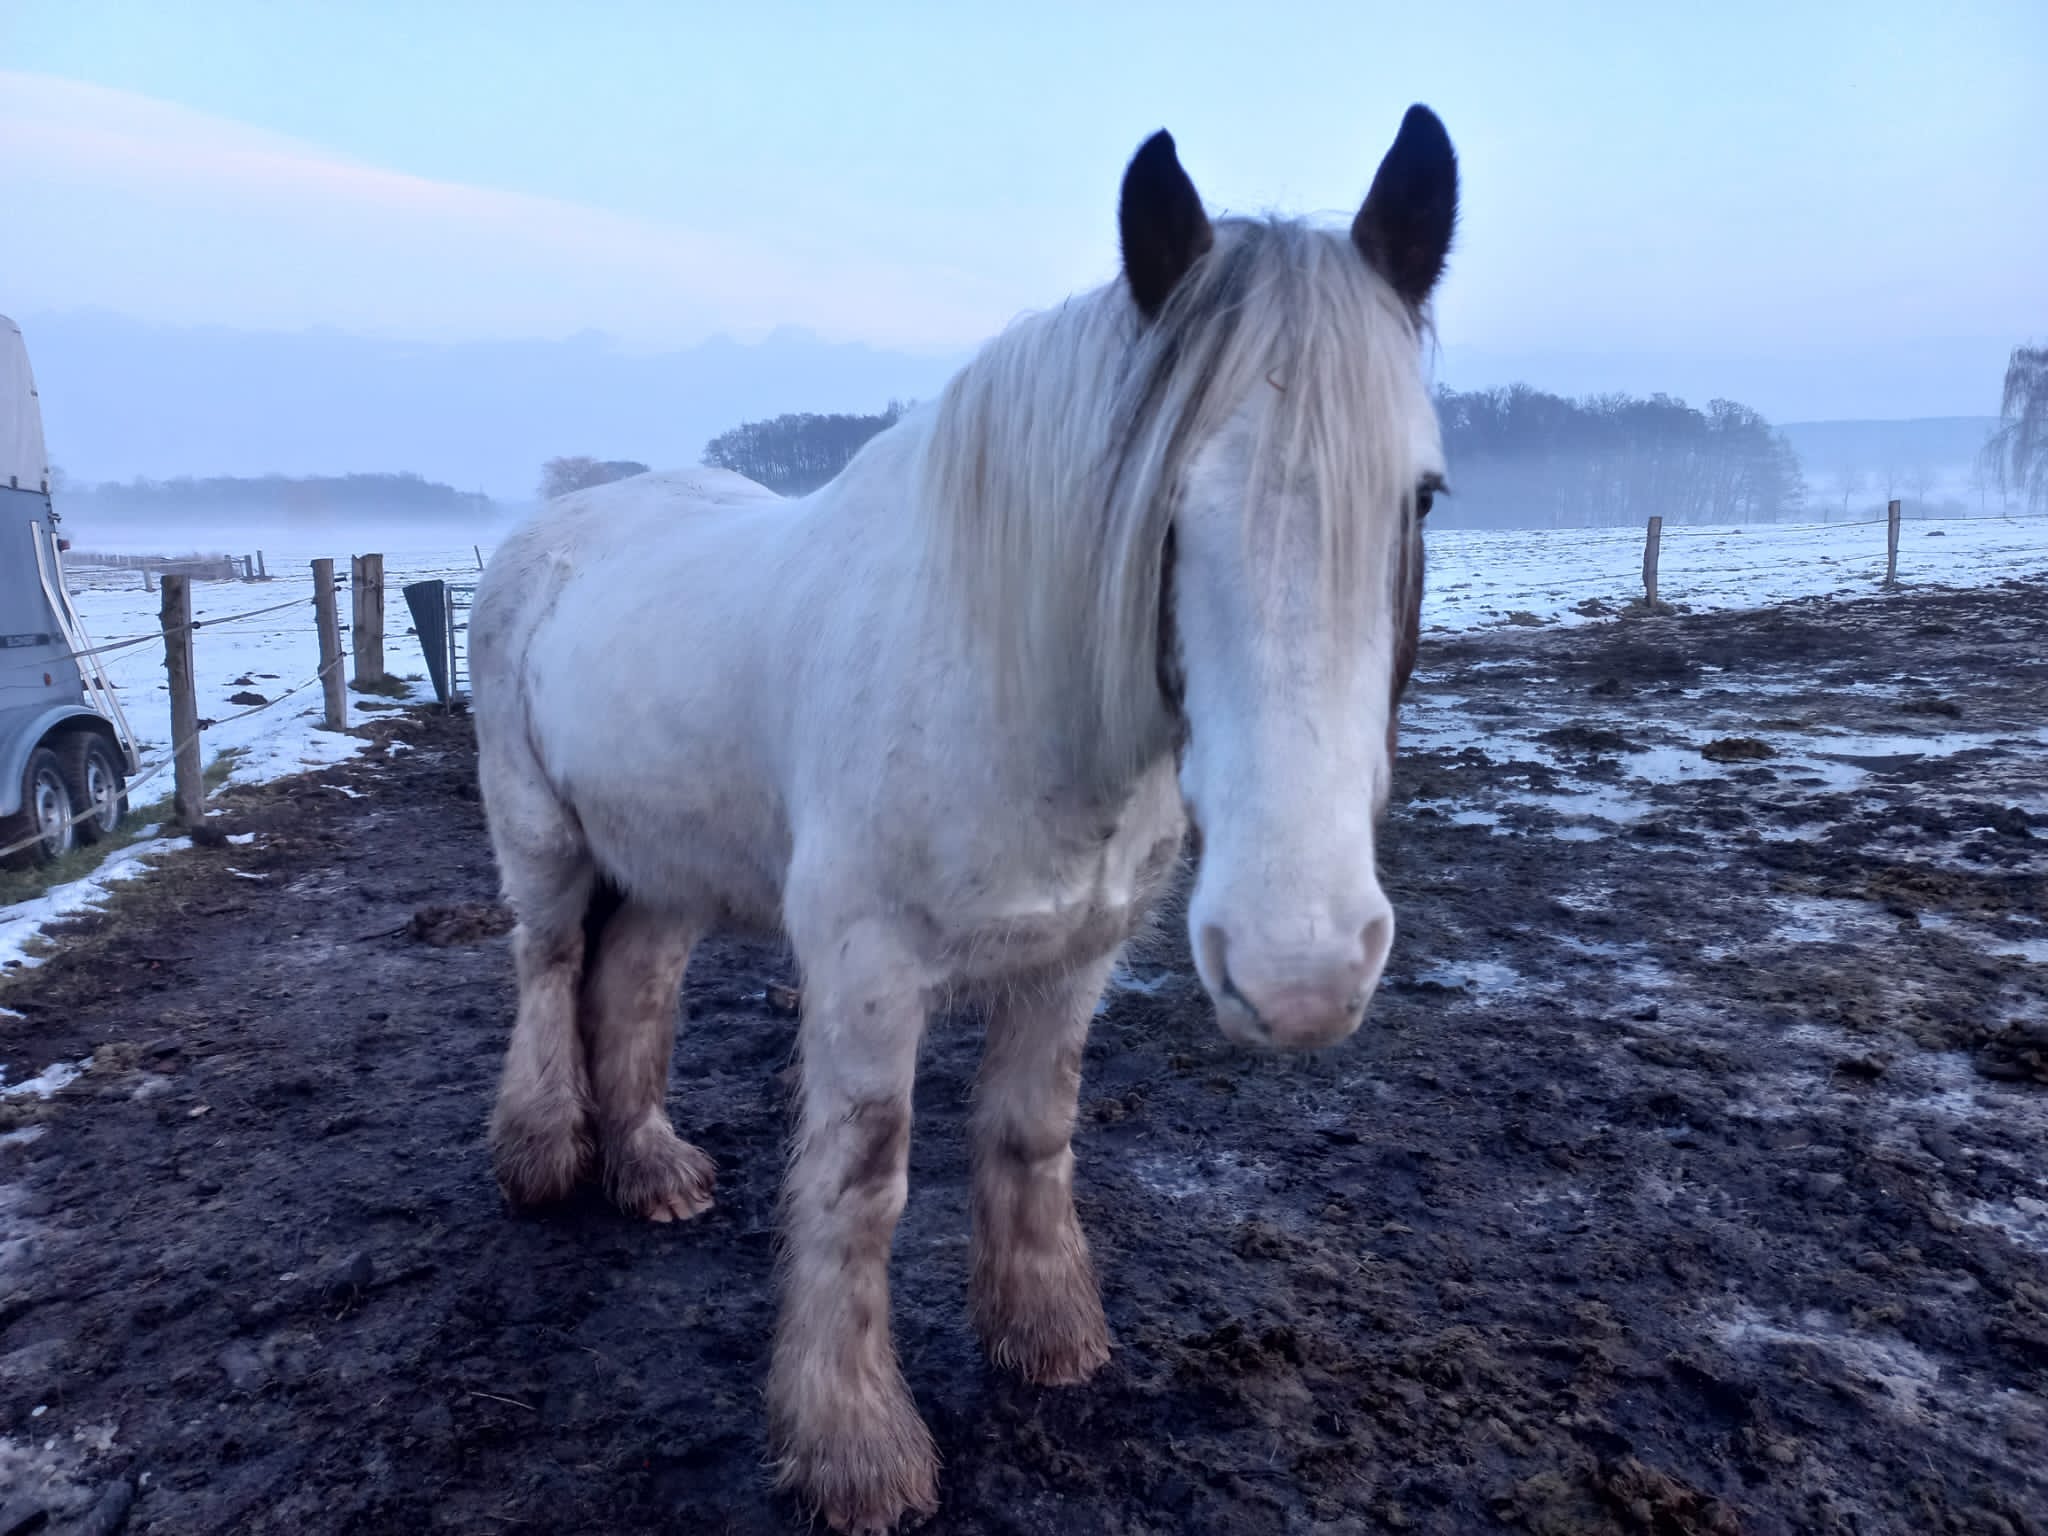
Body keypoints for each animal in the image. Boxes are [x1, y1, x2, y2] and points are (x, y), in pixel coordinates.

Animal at [469, 104, 1457, 1533]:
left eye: (1420, 495)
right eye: (1164, 504)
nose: (1303, 966)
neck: (1001, 677)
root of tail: (562, 521)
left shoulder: (1070, 960)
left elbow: (1031, 1134)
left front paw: (1046, 1333)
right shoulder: (866, 970)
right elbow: (861, 1183)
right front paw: (854, 1447)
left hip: (664, 865)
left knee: (631, 988)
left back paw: (650, 1171)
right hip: (543, 838)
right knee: (548, 969)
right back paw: (545, 1154)